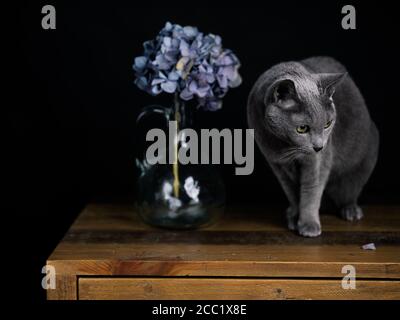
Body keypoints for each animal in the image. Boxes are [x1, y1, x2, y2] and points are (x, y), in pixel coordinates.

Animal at [248, 56, 380, 236]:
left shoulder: (317, 161)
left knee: (349, 192)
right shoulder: (277, 164)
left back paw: (350, 211)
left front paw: (308, 225)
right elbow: (292, 192)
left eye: (327, 124)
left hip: (363, 161)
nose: (319, 147)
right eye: (302, 128)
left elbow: (311, 190)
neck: (283, 146)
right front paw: (295, 218)